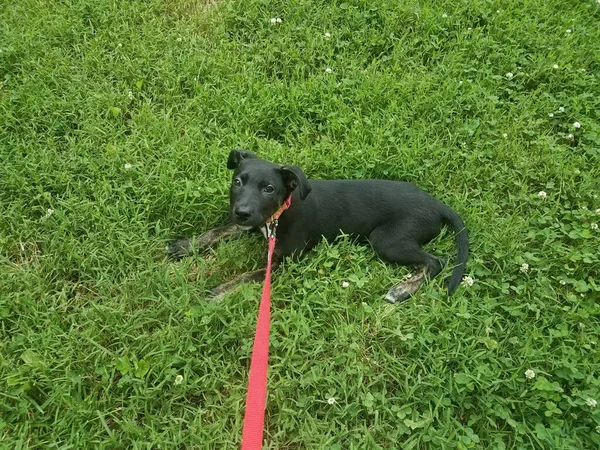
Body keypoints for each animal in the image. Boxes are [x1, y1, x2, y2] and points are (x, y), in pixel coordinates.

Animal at [169, 150, 468, 302]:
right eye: (237, 182)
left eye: (269, 189)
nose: (241, 212)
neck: (280, 211)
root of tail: (436, 204)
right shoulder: (253, 223)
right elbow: (218, 231)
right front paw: (186, 245)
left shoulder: (284, 261)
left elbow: (248, 275)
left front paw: (219, 291)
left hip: (386, 239)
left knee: (436, 261)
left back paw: (402, 290)